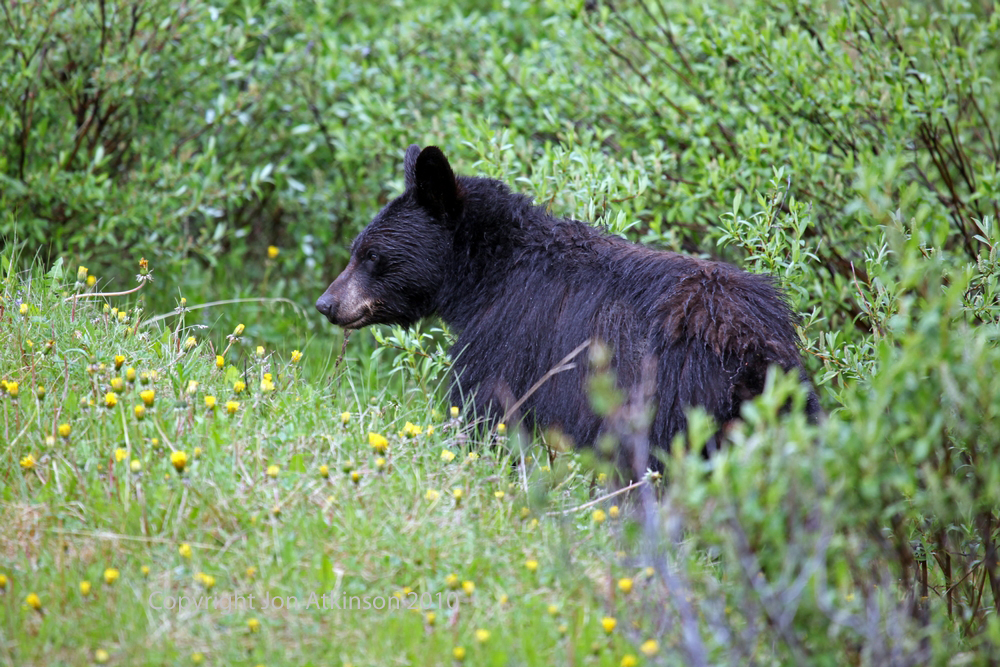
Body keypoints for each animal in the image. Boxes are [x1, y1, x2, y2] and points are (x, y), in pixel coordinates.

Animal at [317, 144, 820, 473]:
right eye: (356, 249)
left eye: (372, 256)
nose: (327, 303)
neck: (489, 269)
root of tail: (751, 350)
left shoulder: (509, 333)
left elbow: (484, 406)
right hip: (788, 399)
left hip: (676, 399)